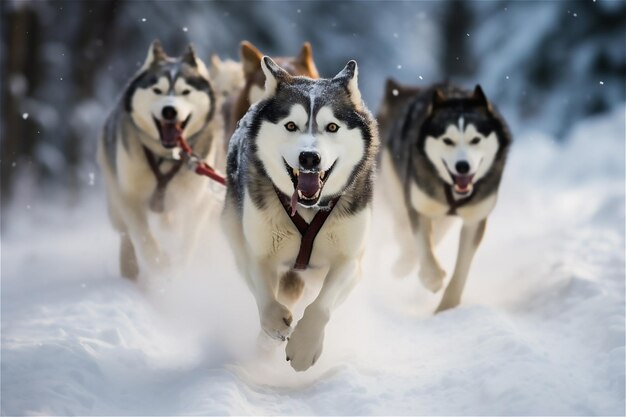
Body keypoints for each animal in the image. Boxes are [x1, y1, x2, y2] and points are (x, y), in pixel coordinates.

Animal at [96, 40, 223, 278]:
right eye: (157, 90)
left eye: (185, 91)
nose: (169, 110)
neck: (167, 155)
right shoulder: (128, 196)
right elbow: (142, 234)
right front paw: (159, 262)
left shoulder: (197, 200)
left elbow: (189, 239)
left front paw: (179, 266)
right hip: (114, 196)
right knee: (125, 233)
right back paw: (130, 268)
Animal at [224, 56, 380, 370]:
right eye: (291, 125)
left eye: (332, 126)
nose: (309, 157)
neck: (309, 210)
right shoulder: (255, 251)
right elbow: (264, 292)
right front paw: (273, 326)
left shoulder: (349, 262)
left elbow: (322, 304)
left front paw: (304, 346)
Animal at [378, 79, 510, 310]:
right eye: (447, 140)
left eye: (476, 139)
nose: (463, 166)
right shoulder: (419, 204)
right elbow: (423, 244)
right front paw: (432, 278)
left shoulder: (475, 218)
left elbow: (462, 267)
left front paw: (447, 306)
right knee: (404, 230)